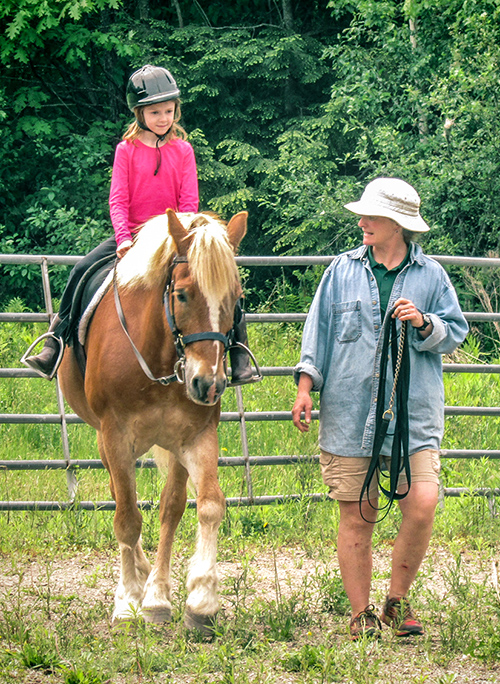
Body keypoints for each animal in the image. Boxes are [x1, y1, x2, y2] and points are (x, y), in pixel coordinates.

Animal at [58, 208, 248, 632]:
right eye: (182, 294)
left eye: (236, 298)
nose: (208, 384)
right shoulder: (115, 436)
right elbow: (128, 517)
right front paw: (128, 601)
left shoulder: (194, 437)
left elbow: (203, 505)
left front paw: (195, 600)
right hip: (105, 440)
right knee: (120, 498)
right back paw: (139, 579)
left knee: (168, 506)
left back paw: (155, 589)